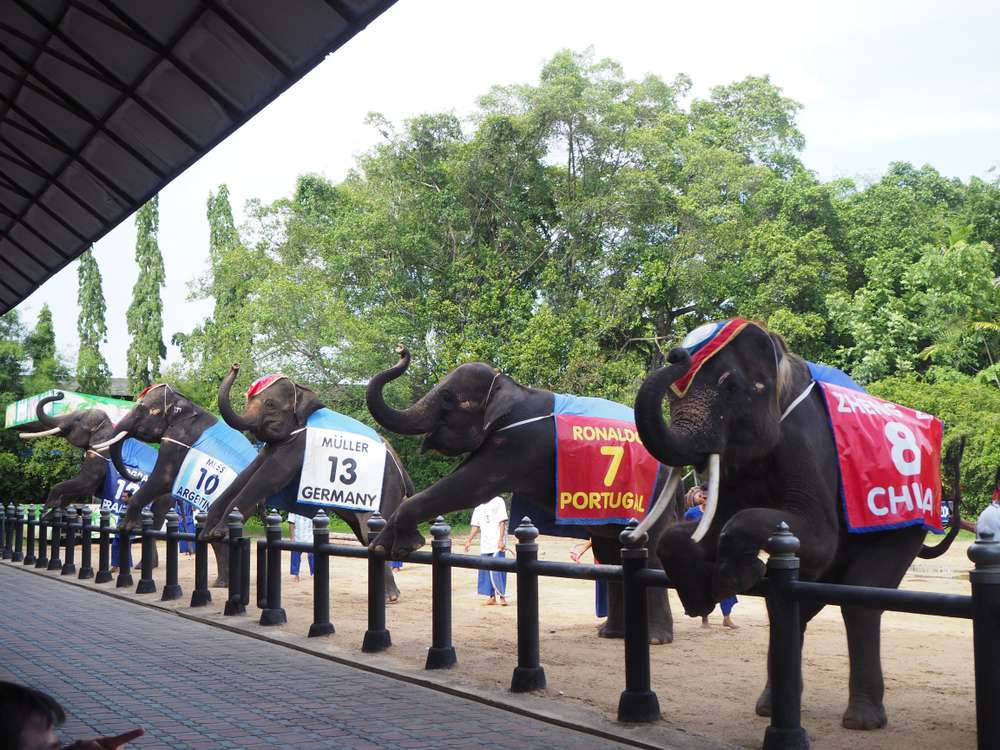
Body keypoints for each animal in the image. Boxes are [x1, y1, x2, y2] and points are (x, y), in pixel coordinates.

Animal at [96, 384, 237, 587]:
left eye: (144, 409)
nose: (135, 478)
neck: (184, 403)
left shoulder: (179, 438)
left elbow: (165, 478)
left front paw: (128, 525)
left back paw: (220, 584)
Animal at [204, 364, 413, 602]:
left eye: (270, 404)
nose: (235, 365)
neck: (302, 391)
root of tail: (403, 472)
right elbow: (248, 474)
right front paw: (207, 530)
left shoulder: (298, 443)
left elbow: (266, 478)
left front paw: (218, 531)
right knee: (366, 535)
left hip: (384, 488)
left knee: (372, 528)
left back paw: (390, 597)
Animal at [366, 346, 676, 644]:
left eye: (447, 398)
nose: (401, 350)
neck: (511, 386)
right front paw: (383, 545)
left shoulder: (518, 444)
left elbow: (469, 485)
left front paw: (389, 546)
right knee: (609, 550)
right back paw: (611, 633)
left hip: (650, 496)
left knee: (646, 548)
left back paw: (654, 639)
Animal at [633, 318, 962, 730]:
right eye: (673, 397)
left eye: (730, 388)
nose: (676, 354)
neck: (783, 364)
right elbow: (708, 525)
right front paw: (702, 593)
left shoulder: (806, 443)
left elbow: (814, 536)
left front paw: (731, 578)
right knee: (799, 601)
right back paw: (769, 706)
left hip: (906, 524)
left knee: (861, 599)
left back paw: (861, 721)